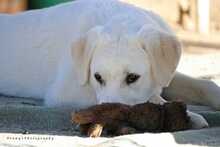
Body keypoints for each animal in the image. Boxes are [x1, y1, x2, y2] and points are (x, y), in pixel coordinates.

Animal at [0, 0, 219, 129]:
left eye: (132, 78)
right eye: (97, 77)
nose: (106, 120)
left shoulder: (166, 76)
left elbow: (205, 84)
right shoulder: (63, 92)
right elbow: (153, 98)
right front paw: (188, 115)